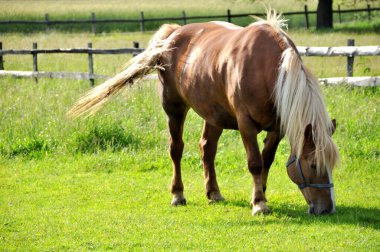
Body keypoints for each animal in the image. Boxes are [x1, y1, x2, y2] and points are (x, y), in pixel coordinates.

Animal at [68, 9, 338, 215]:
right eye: (314, 164)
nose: (327, 209)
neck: (269, 70)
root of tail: (173, 34)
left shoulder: (278, 127)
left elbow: (267, 161)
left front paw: (260, 194)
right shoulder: (246, 125)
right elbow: (255, 163)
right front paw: (259, 204)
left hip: (214, 115)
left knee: (207, 148)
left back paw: (214, 193)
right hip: (174, 109)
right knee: (176, 150)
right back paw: (178, 195)